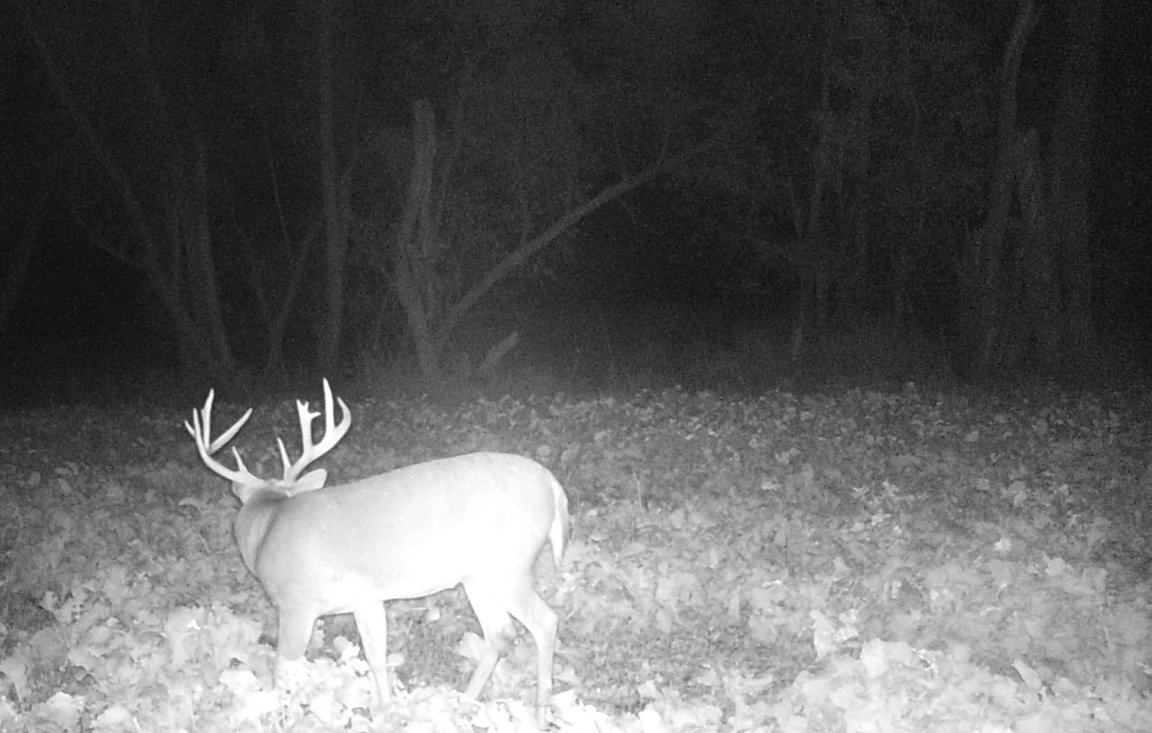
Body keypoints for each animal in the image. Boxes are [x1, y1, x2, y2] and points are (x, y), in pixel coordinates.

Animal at [185, 380, 569, 727]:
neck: (267, 528)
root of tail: (553, 485)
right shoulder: (366, 598)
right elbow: (376, 656)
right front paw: (386, 713)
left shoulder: (297, 603)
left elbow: (285, 669)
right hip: (477, 577)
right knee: (500, 634)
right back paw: (463, 704)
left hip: (508, 566)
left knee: (545, 622)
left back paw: (540, 714)